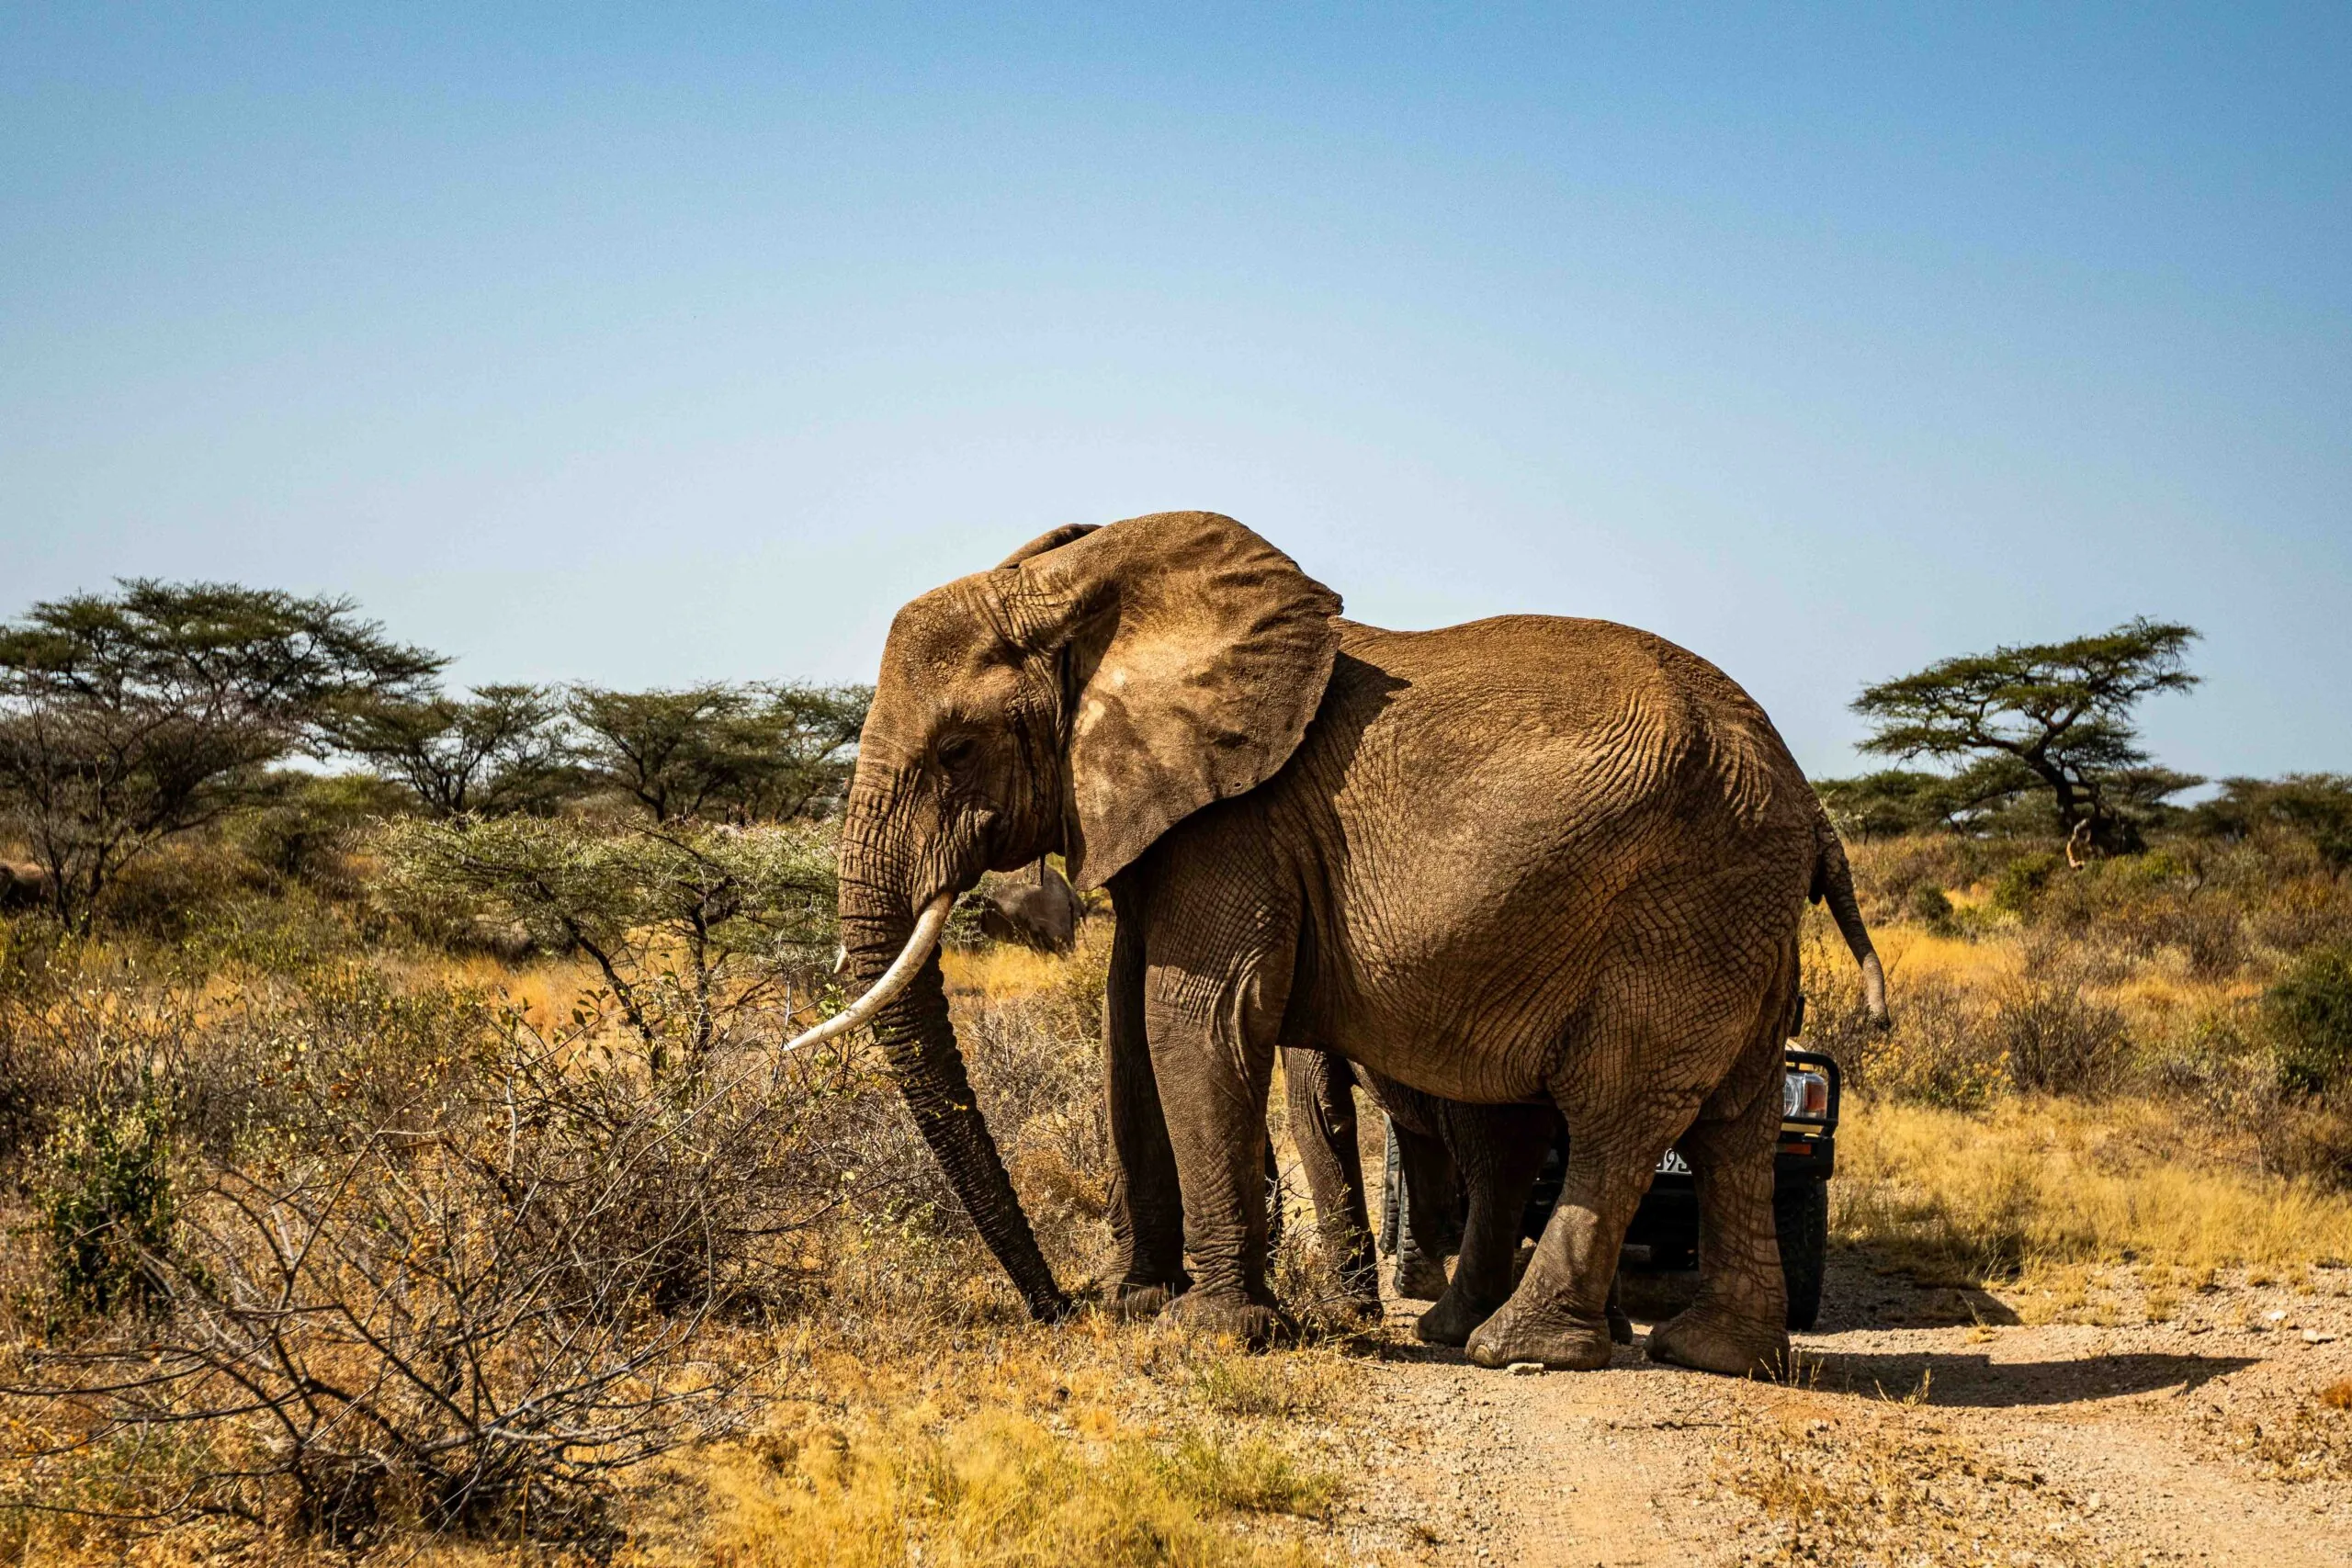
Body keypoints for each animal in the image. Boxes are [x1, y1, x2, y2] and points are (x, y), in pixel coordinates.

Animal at [781, 510, 1886, 1375]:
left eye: (957, 750)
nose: (1053, 1308)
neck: (1091, 595)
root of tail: (1805, 800)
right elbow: (1127, 1026)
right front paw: (1139, 1301)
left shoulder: (1241, 823)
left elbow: (1195, 1018)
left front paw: (1211, 1333)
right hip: (1732, 916)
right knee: (1733, 1119)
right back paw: (1705, 1353)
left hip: (1679, 906)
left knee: (1620, 1111)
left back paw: (1520, 1348)